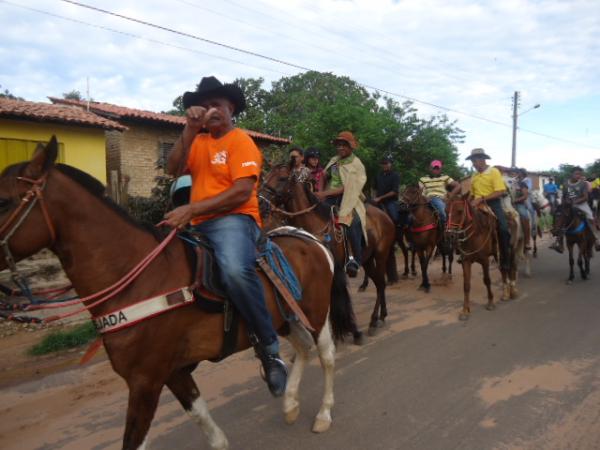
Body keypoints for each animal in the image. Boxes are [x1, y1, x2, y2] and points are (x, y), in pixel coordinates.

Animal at [0, 137, 352, 450]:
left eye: (4, 200)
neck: (137, 277)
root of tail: (309, 238)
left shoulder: (145, 381)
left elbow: (135, 441)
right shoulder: (173, 372)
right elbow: (207, 425)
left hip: (317, 314)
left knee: (326, 355)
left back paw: (323, 415)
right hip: (284, 318)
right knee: (303, 349)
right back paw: (290, 405)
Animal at [260, 163, 396, 336]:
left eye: (282, 178)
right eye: (265, 177)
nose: (260, 201)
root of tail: (385, 216)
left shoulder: (336, 269)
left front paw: (351, 330)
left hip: (381, 254)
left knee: (381, 283)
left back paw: (374, 320)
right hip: (367, 260)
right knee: (379, 283)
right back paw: (381, 316)